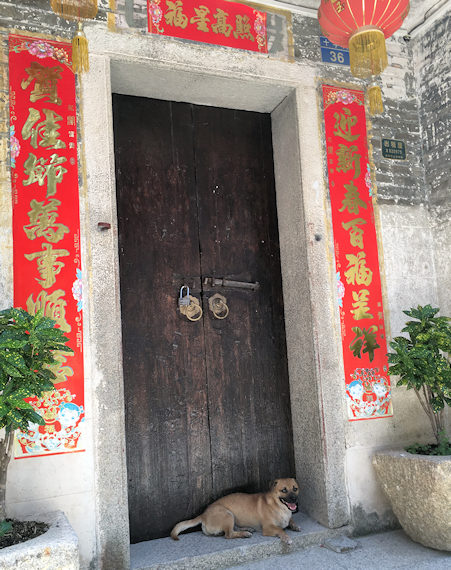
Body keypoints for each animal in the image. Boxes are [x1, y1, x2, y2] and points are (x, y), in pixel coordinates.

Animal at [171, 474, 302, 540]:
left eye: (295, 489)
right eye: (284, 490)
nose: (294, 499)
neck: (279, 506)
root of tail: (203, 515)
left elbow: (291, 520)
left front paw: (295, 526)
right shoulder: (268, 528)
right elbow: (280, 530)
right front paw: (286, 537)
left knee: (230, 530)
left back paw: (247, 529)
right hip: (227, 514)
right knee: (228, 534)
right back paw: (244, 534)